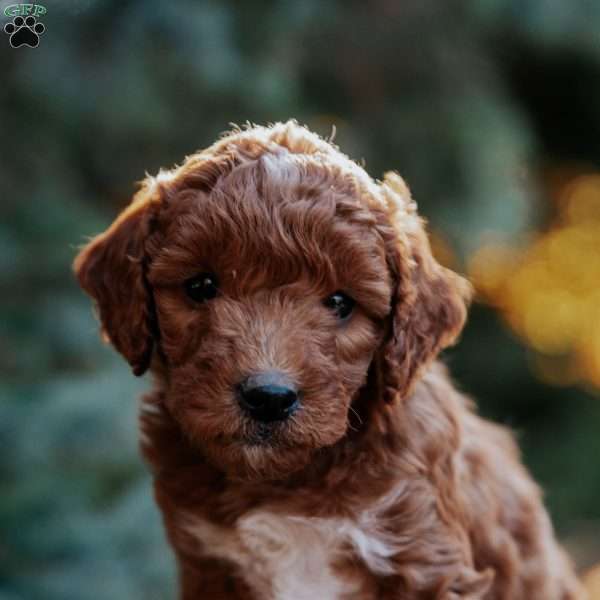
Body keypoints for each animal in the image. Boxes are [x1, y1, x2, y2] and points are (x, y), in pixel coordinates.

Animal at [72, 122, 584, 600]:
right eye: (200, 286)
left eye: (340, 302)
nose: (269, 397)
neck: (284, 484)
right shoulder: (209, 564)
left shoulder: (425, 561)